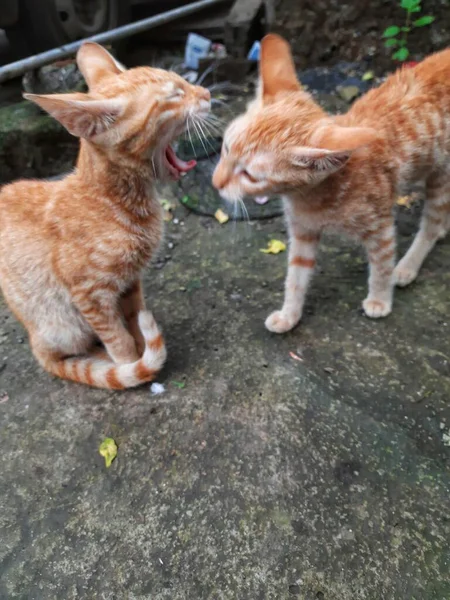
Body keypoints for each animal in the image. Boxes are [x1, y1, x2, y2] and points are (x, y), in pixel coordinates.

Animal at [0, 42, 211, 390]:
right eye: (175, 95)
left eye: (183, 81)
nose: (207, 93)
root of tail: (33, 340)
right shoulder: (89, 294)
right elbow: (118, 339)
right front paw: (131, 366)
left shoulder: (130, 282)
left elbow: (134, 321)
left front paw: (142, 349)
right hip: (64, 325)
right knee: (62, 355)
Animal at [212, 34, 450, 332]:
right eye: (225, 148)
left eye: (250, 176)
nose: (215, 183)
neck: (312, 197)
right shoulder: (303, 230)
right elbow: (295, 277)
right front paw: (289, 315)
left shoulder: (380, 227)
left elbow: (381, 266)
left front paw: (380, 299)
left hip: (440, 176)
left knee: (430, 224)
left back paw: (408, 265)